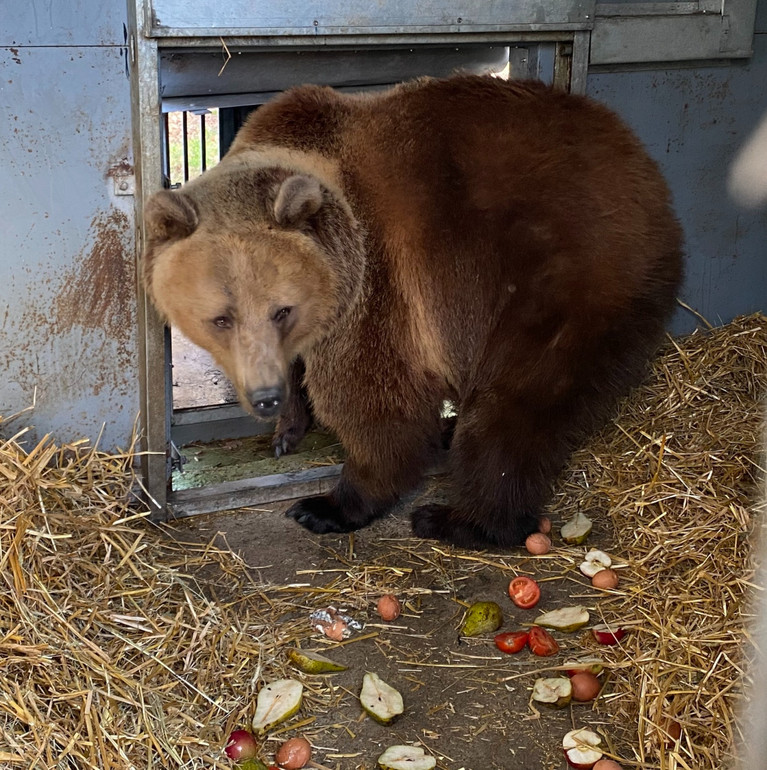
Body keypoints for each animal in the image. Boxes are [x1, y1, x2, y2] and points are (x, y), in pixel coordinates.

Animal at [144, 75, 684, 544]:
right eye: (221, 318)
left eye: (282, 310)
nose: (264, 398)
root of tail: (645, 170)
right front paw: (287, 430)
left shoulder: (380, 286)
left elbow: (378, 406)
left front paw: (329, 505)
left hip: (560, 281)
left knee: (516, 404)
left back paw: (460, 519)